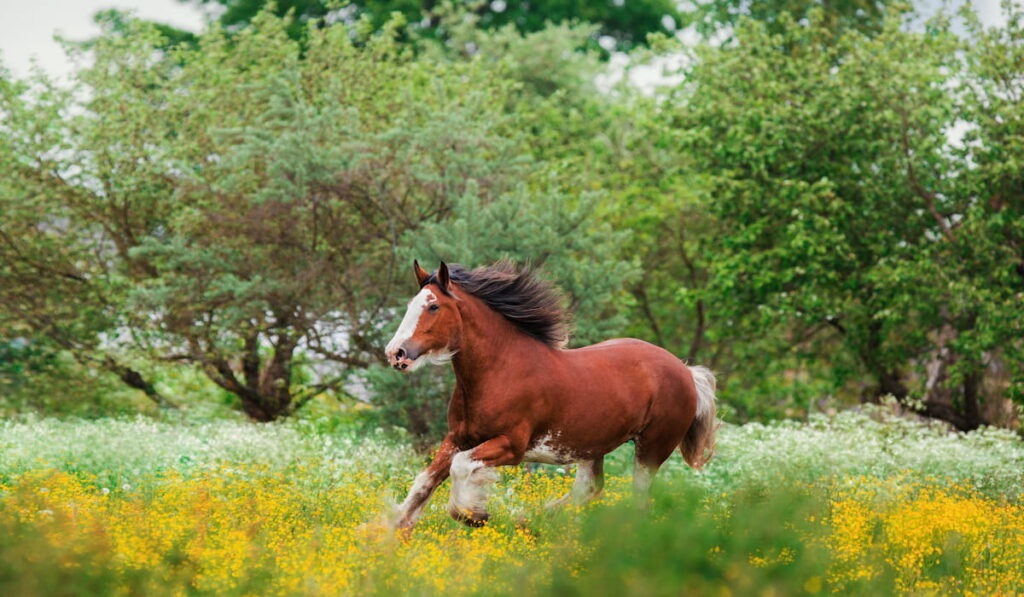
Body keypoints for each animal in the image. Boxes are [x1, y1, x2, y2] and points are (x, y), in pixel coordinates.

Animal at [385, 262, 720, 532]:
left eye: (433, 307)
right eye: (411, 304)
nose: (395, 353)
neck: (501, 370)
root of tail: (687, 372)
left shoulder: (512, 446)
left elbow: (461, 467)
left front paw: (472, 514)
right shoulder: (458, 437)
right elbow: (424, 482)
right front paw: (392, 533)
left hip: (651, 448)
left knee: (638, 498)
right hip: (592, 445)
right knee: (590, 488)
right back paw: (533, 521)